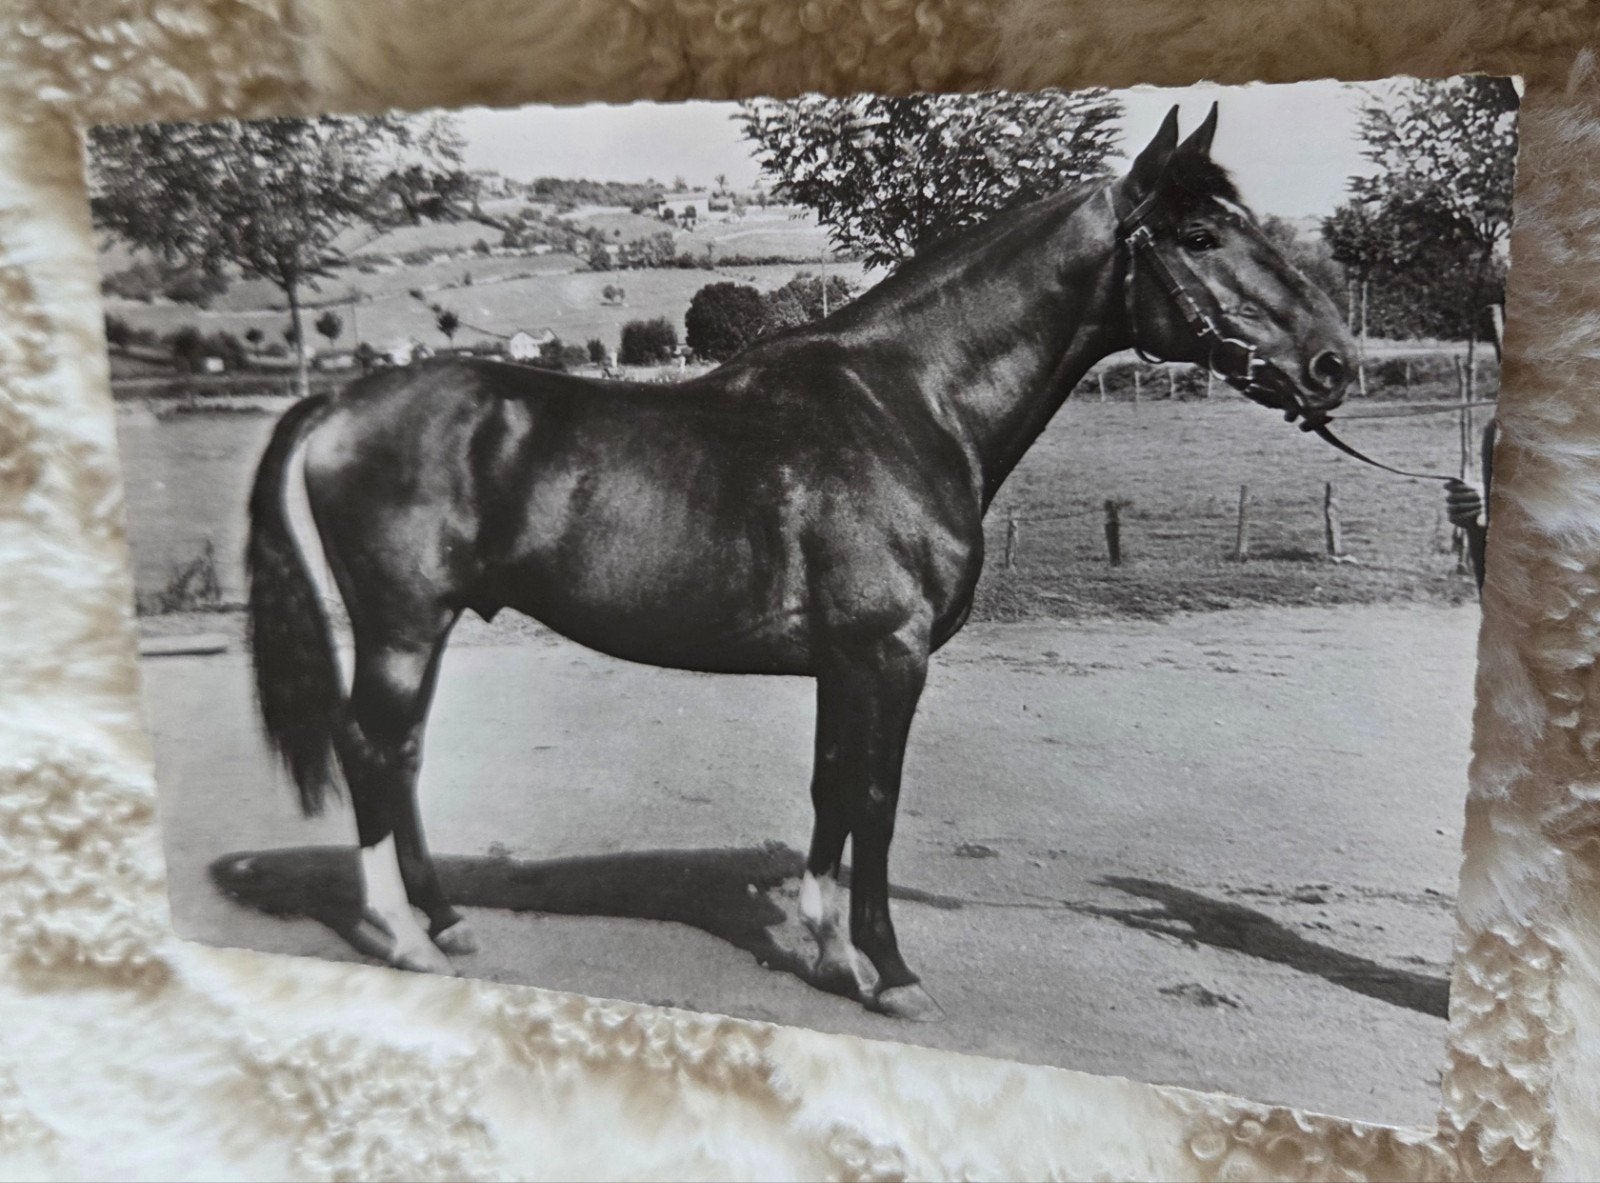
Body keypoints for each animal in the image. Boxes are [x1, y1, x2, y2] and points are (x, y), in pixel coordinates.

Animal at [245, 104, 1354, 1020]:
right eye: (1202, 236)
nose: (1333, 365)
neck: (907, 402)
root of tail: (338, 401)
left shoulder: (843, 662)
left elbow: (829, 789)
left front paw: (824, 949)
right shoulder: (891, 655)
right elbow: (875, 800)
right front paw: (890, 970)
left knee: (401, 753)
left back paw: (443, 919)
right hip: (401, 626)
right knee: (372, 749)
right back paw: (404, 935)